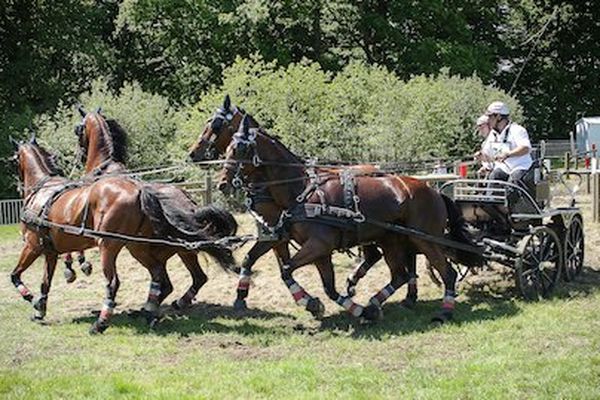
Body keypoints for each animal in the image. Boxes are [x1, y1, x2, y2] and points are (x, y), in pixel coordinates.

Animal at [9, 136, 234, 332]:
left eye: (14, 160)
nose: (17, 185)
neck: (43, 190)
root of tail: (140, 190)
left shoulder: (32, 246)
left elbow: (15, 275)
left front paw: (32, 299)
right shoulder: (50, 251)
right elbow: (45, 282)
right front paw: (40, 309)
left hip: (109, 247)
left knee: (114, 283)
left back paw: (101, 324)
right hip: (138, 246)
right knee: (160, 276)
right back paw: (149, 313)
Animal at [72, 107, 237, 312]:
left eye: (78, 130)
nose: (79, 156)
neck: (104, 167)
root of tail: (190, 207)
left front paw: (82, 264)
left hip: (145, 249)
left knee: (172, 279)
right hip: (177, 250)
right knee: (187, 279)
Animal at [189, 95, 394, 310]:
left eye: (215, 124)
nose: (192, 153)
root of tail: (380, 170)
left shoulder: (277, 234)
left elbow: (282, 266)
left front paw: (308, 300)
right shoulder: (274, 232)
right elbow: (258, 260)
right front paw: (243, 295)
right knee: (373, 255)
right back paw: (353, 283)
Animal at [218, 115, 480, 322]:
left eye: (239, 150)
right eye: (228, 147)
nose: (222, 183)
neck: (301, 190)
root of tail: (434, 191)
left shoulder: (318, 244)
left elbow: (286, 270)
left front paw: (313, 303)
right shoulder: (312, 247)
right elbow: (328, 288)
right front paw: (349, 309)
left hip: (426, 240)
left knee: (447, 272)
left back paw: (445, 311)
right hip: (392, 240)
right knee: (400, 274)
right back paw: (375, 304)